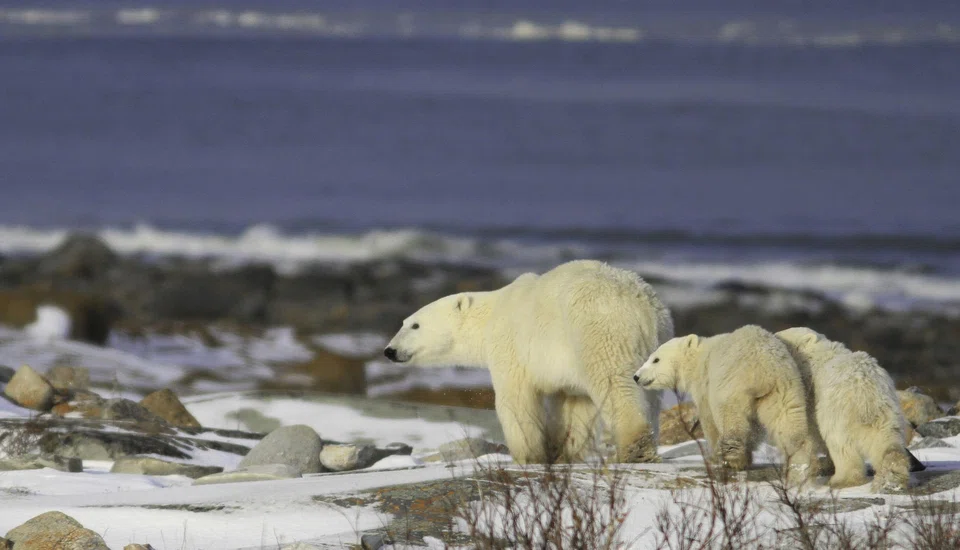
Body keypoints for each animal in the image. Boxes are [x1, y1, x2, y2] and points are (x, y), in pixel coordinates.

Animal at [383, 259, 674, 465]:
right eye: (403, 322)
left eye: (414, 324)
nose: (389, 350)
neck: (491, 313)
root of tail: (641, 304)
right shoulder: (567, 365)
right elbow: (573, 405)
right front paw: (561, 453)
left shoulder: (511, 344)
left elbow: (515, 399)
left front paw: (527, 456)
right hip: (654, 344)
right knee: (650, 394)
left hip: (599, 330)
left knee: (614, 383)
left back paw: (635, 449)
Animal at [633, 325, 818, 482]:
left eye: (656, 359)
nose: (636, 376)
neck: (698, 357)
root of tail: (764, 367)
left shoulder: (705, 384)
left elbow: (708, 420)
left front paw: (715, 456)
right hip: (784, 388)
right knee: (787, 421)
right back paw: (801, 463)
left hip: (733, 385)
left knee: (731, 419)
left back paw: (732, 459)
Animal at [776, 327, 911, 492]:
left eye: (781, 338)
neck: (819, 356)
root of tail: (867, 390)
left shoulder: (810, 391)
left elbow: (810, 431)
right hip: (888, 411)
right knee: (886, 440)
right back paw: (893, 477)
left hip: (837, 411)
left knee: (840, 444)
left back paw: (841, 480)